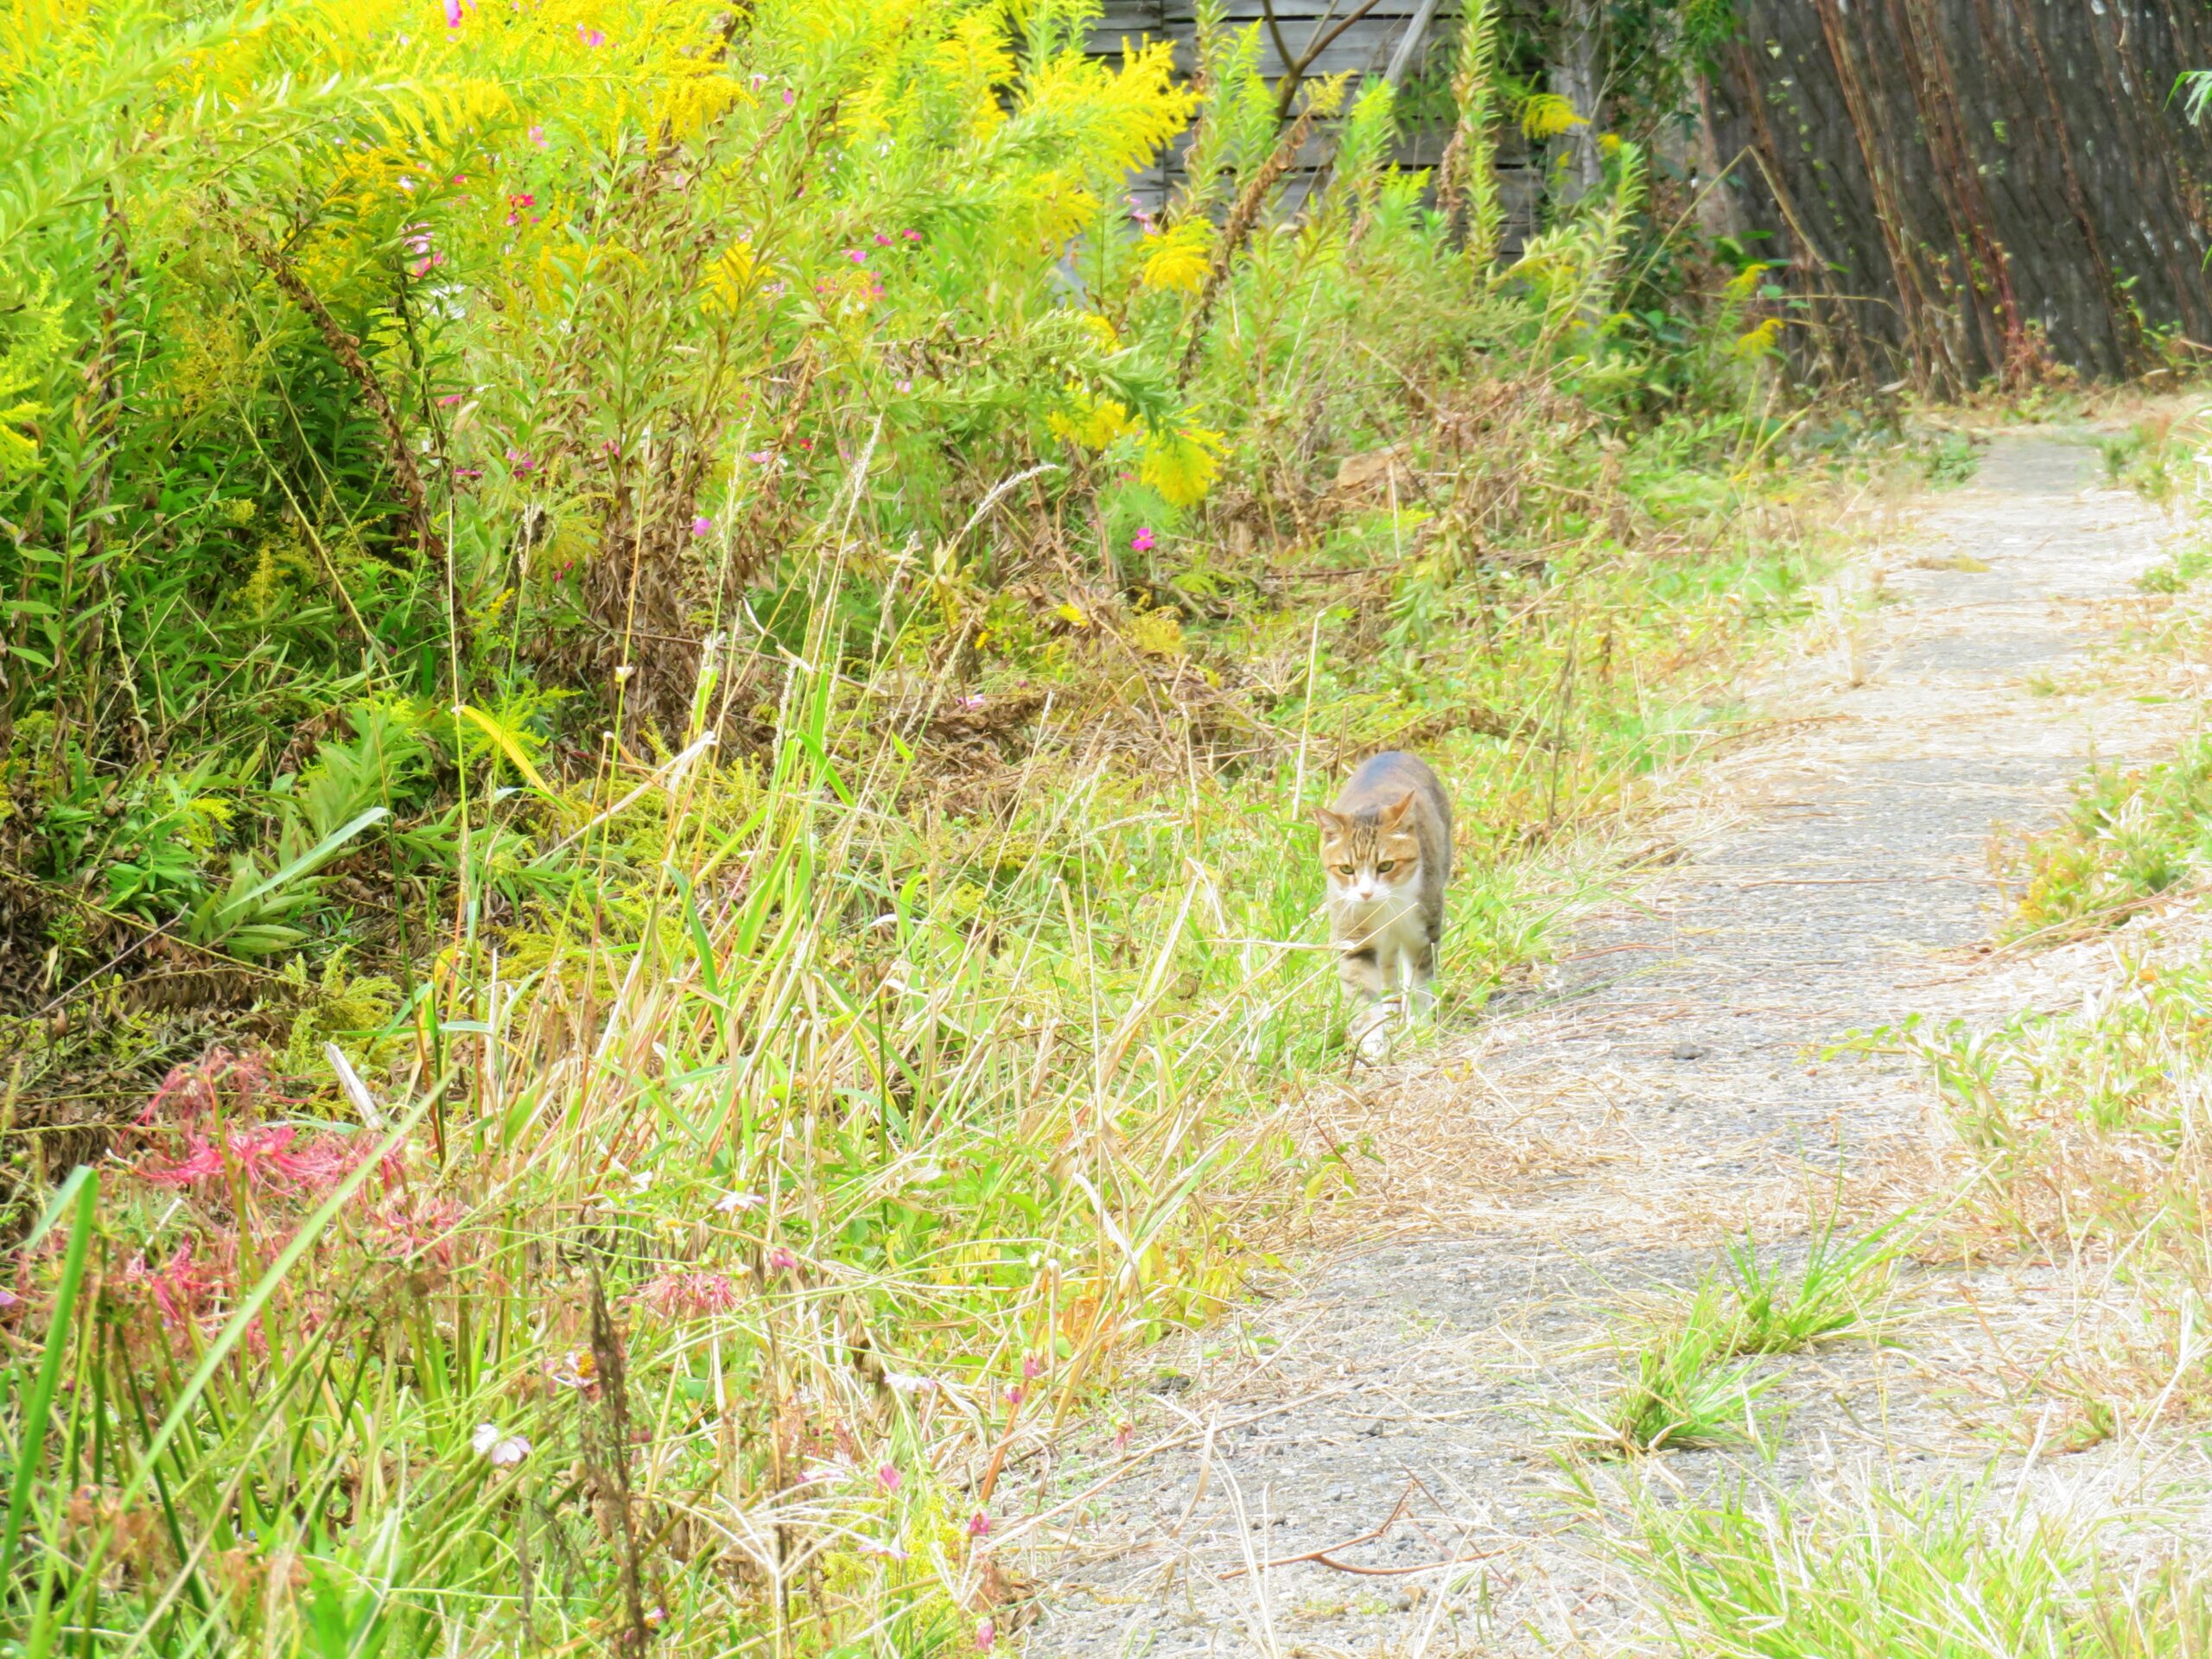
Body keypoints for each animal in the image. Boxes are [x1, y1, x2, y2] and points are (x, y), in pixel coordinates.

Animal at [1309, 752, 1451, 1065]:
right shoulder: (1354, 939)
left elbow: (1419, 982)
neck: (1385, 910)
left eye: (1386, 865)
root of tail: (1393, 752)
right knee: (1386, 968)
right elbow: (1362, 991)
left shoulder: (1423, 932)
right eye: (1346, 869)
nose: (1366, 892)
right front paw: (1372, 1043)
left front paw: (1419, 1027)